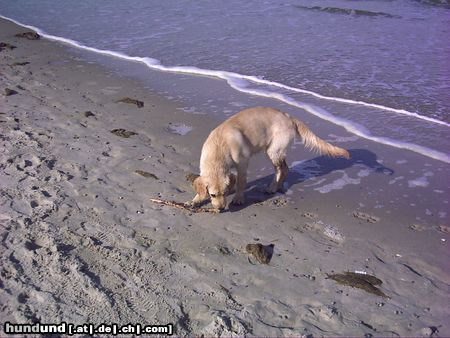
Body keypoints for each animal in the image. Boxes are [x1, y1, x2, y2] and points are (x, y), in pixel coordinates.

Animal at [190, 107, 352, 210]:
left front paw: (238, 198)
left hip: (273, 151)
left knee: (282, 170)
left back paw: (272, 188)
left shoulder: (243, 162)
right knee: (284, 169)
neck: (219, 147)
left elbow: (241, 182)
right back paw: (277, 186)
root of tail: (289, 117)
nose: (221, 208)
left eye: (224, 194)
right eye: (213, 195)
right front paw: (196, 199)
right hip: (275, 151)